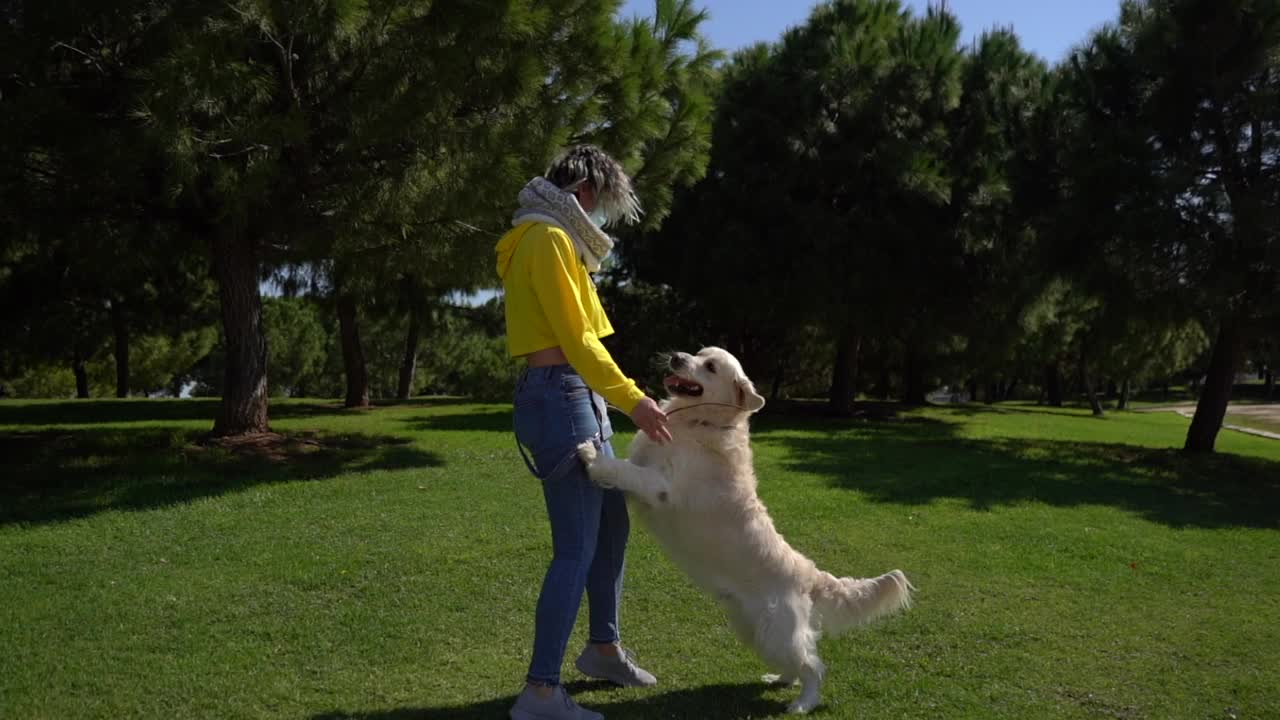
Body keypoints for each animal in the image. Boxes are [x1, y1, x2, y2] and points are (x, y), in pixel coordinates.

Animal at [576, 345, 916, 712]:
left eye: (710, 366)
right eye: (698, 352)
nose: (677, 356)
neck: (700, 420)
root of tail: (809, 574)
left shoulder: (661, 487)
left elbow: (625, 471)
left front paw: (591, 456)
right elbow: (626, 470)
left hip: (777, 631)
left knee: (813, 666)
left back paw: (802, 703)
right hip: (752, 629)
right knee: (795, 664)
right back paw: (779, 680)